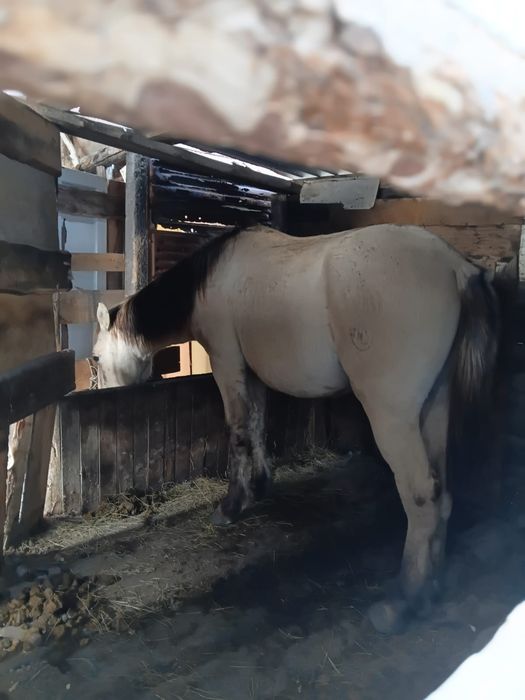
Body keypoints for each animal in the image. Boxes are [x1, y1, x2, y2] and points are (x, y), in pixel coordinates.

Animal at [94, 223, 500, 632]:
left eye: (95, 357)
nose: (102, 394)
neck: (212, 277)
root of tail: (456, 268)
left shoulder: (228, 365)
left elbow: (238, 431)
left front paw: (231, 506)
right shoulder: (252, 374)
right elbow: (256, 426)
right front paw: (258, 486)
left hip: (394, 418)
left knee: (422, 496)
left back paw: (404, 600)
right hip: (434, 406)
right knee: (442, 493)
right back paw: (431, 587)